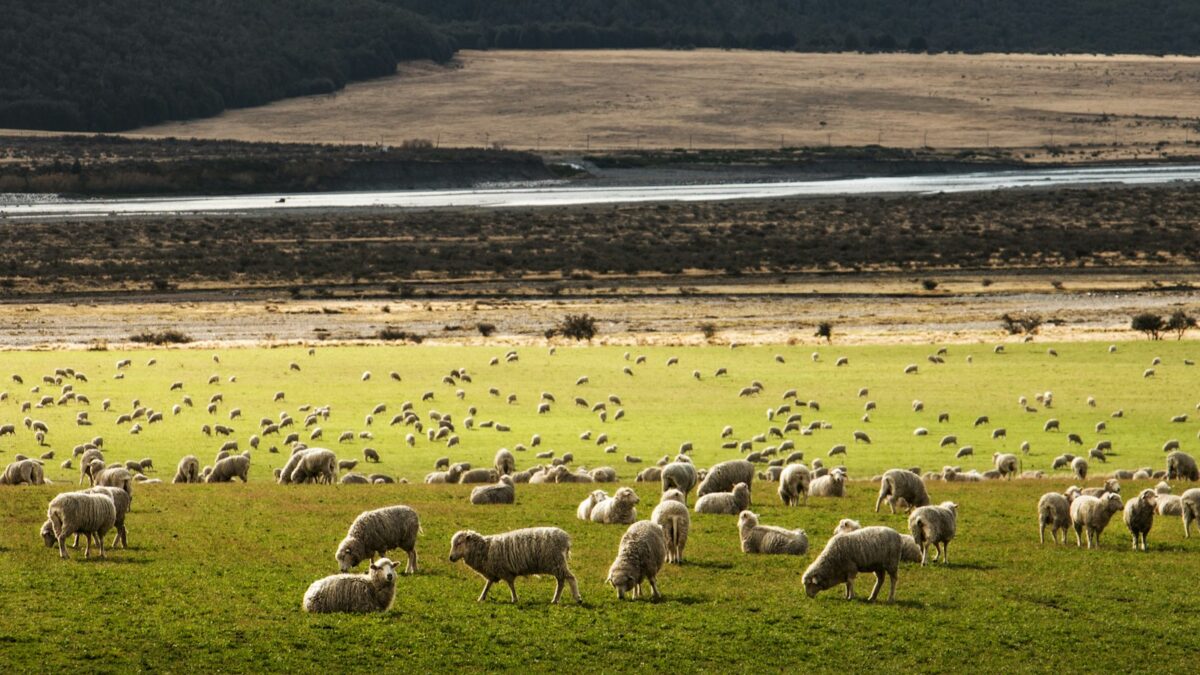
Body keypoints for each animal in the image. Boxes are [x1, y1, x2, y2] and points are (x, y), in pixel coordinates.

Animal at [451, 523, 580, 600]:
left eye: (459, 543)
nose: (450, 558)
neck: (484, 548)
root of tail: (565, 538)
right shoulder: (493, 572)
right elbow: (488, 585)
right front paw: (481, 598)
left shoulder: (504, 571)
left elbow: (510, 585)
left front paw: (514, 598)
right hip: (556, 564)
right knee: (561, 582)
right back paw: (555, 600)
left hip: (557, 562)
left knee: (571, 578)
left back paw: (577, 597)